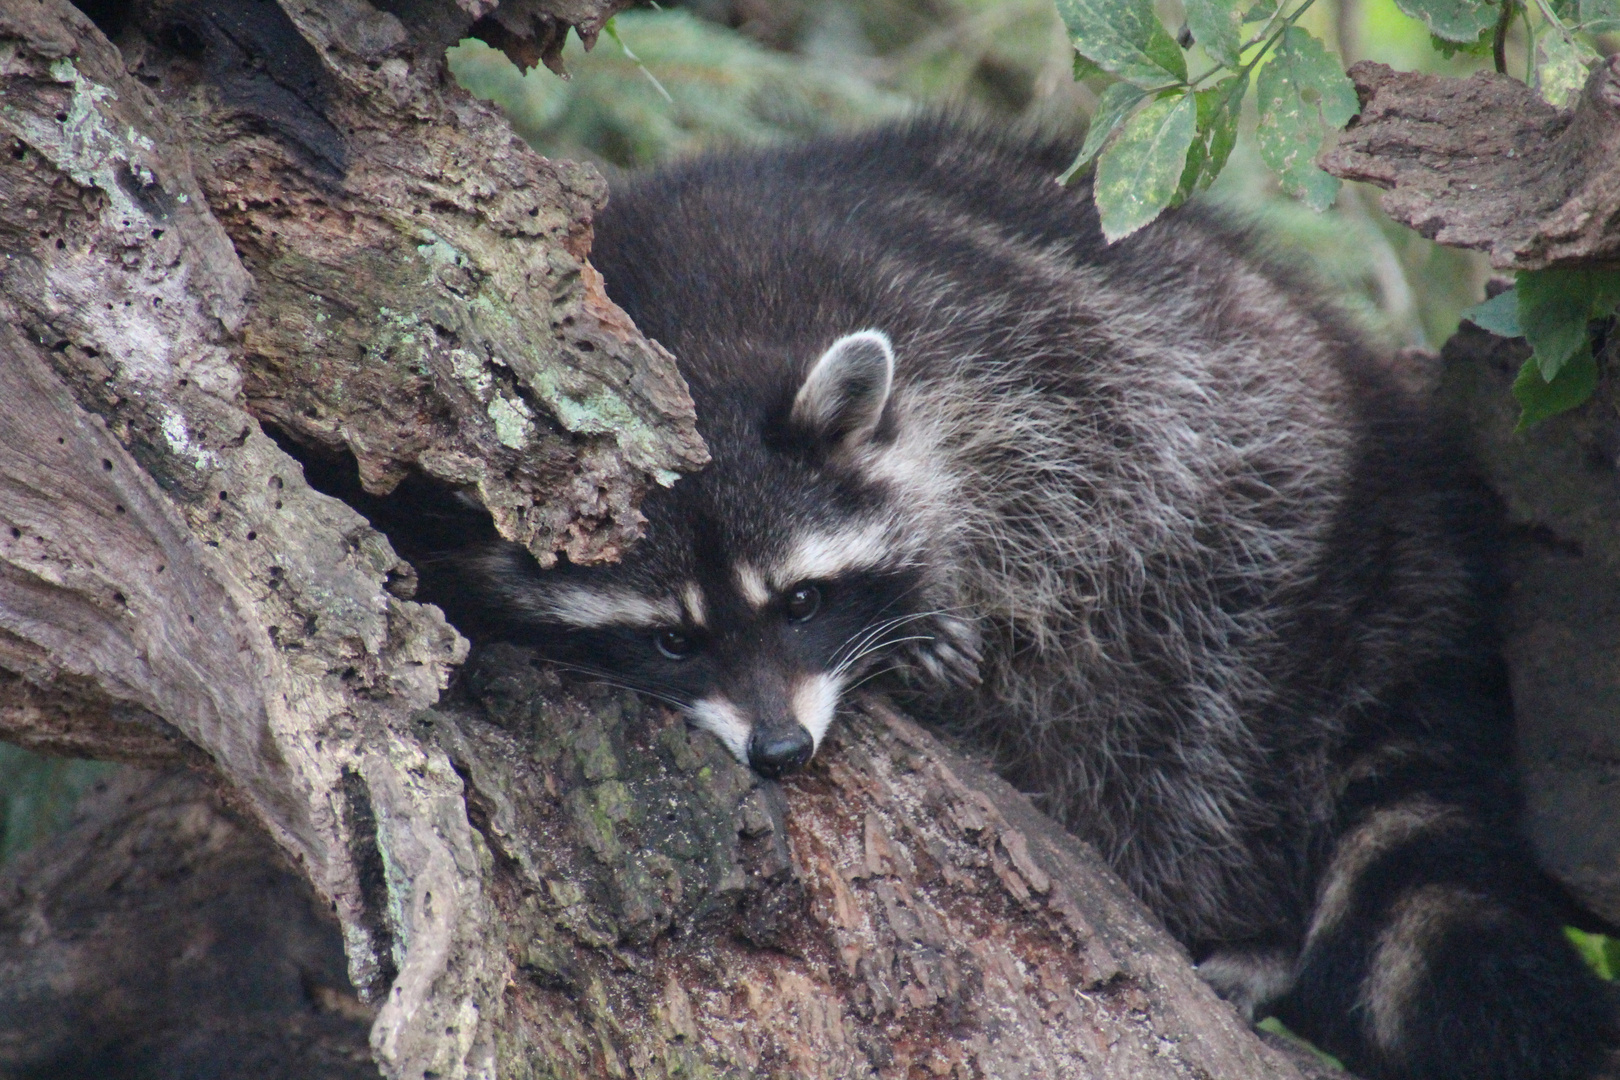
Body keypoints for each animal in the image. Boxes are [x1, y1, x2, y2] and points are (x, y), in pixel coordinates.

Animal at [388, 120, 1607, 1080]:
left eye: (802, 602)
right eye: (675, 644)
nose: (782, 751)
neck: (684, 339)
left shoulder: (1031, 355)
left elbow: (1099, 489)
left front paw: (934, 621)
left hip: (1277, 495)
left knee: (1197, 713)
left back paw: (1239, 907)